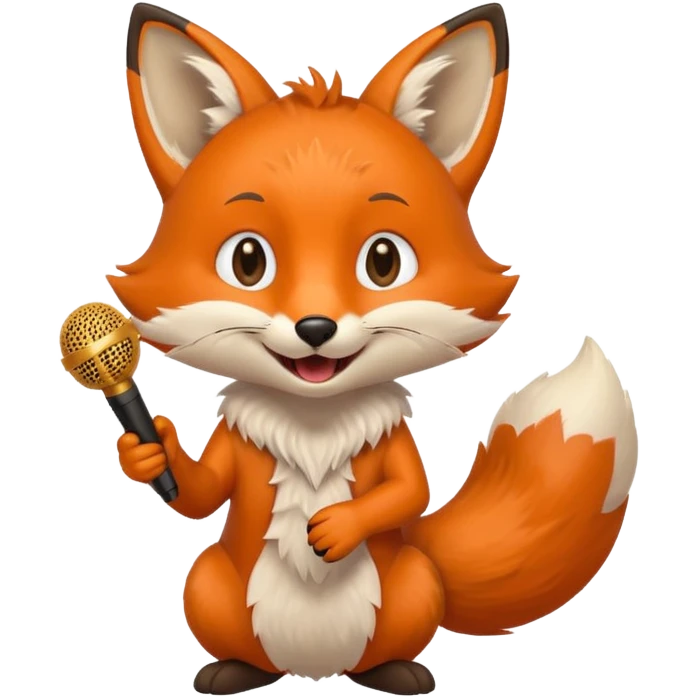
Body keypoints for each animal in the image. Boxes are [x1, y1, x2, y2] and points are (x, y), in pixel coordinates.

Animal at [111, 2, 639, 695]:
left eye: (383, 261)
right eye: (248, 261)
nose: (315, 327)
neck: (313, 420)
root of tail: (313, 670)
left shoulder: (394, 450)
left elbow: (407, 492)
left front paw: (340, 525)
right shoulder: (233, 452)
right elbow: (201, 490)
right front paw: (149, 452)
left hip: (413, 583)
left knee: (393, 635)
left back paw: (397, 672)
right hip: (205, 583)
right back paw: (234, 671)